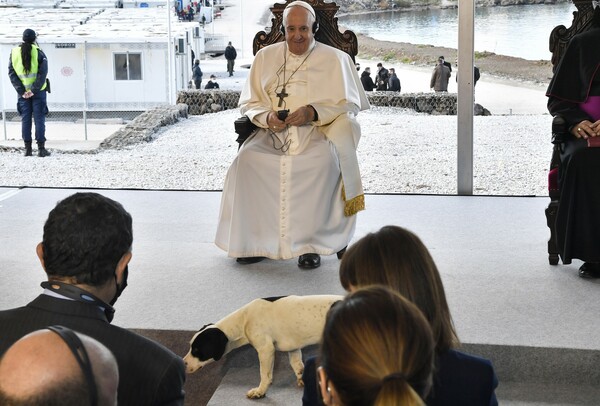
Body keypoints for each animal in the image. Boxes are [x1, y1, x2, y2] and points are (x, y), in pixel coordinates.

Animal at [182, 294, 342, 398]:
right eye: (190, 347)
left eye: (197, 350)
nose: (182, 363)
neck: (244, 319)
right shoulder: (293, 349)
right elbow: (297, 367)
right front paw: (302, 380)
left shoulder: (266, 350)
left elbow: (264, 375)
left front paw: (260, 391)